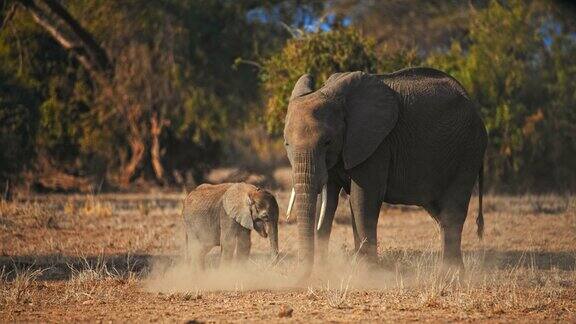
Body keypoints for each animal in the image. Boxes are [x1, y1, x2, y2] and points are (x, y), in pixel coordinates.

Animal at [284, 67, 486, 278]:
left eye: (327, 142)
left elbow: (363, 199)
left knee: (452, 211)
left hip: (467, 151)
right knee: (440, 215)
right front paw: (327, 270)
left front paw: (367, 273)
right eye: (287, 144)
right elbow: (329, 199)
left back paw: (450, 275)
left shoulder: (377, 145)